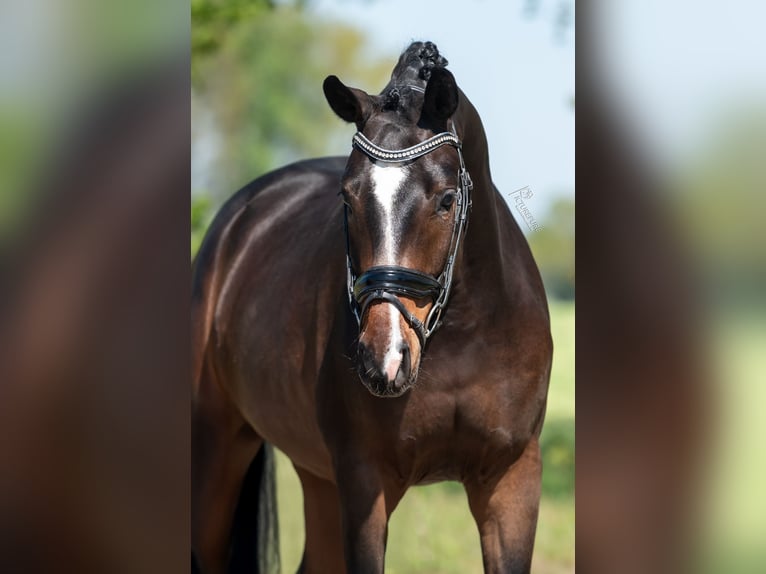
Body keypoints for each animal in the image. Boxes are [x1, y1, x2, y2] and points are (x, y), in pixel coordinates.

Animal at [191, 41, 552, 574]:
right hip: (217, 446)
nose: (384, 357)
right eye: (347, 198)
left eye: (447, 200)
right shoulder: (366, 482)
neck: (463, 336)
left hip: (317, 477)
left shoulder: (512, 479)